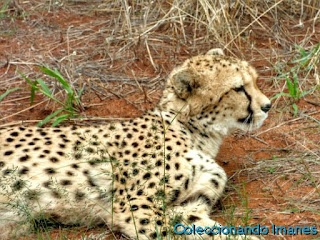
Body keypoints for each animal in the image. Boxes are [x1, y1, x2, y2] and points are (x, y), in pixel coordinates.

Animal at [0, 49, 270, 240]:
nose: (267, 106)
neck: (193, 131)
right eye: (239, 89)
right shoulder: (136, 207)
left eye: (255, 81)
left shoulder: (187, 206)